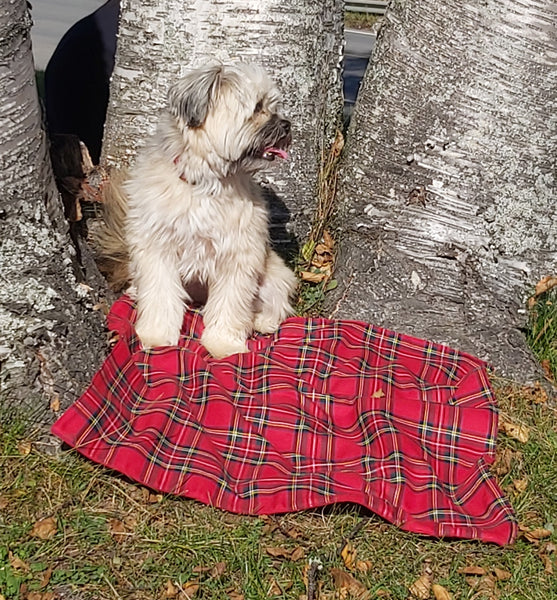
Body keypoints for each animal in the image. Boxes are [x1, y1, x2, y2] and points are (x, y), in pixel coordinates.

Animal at [100, 63, 300, 358]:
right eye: (257, 107)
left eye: (274, 106)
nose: (286, 125)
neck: (204, 181)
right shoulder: (156, 248)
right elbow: (159, 295)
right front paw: (157, 336)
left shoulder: (239, 253)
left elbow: (231, 303)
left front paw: (224, 345)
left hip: (274, 274)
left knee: (277, 302)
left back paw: (262, 320)